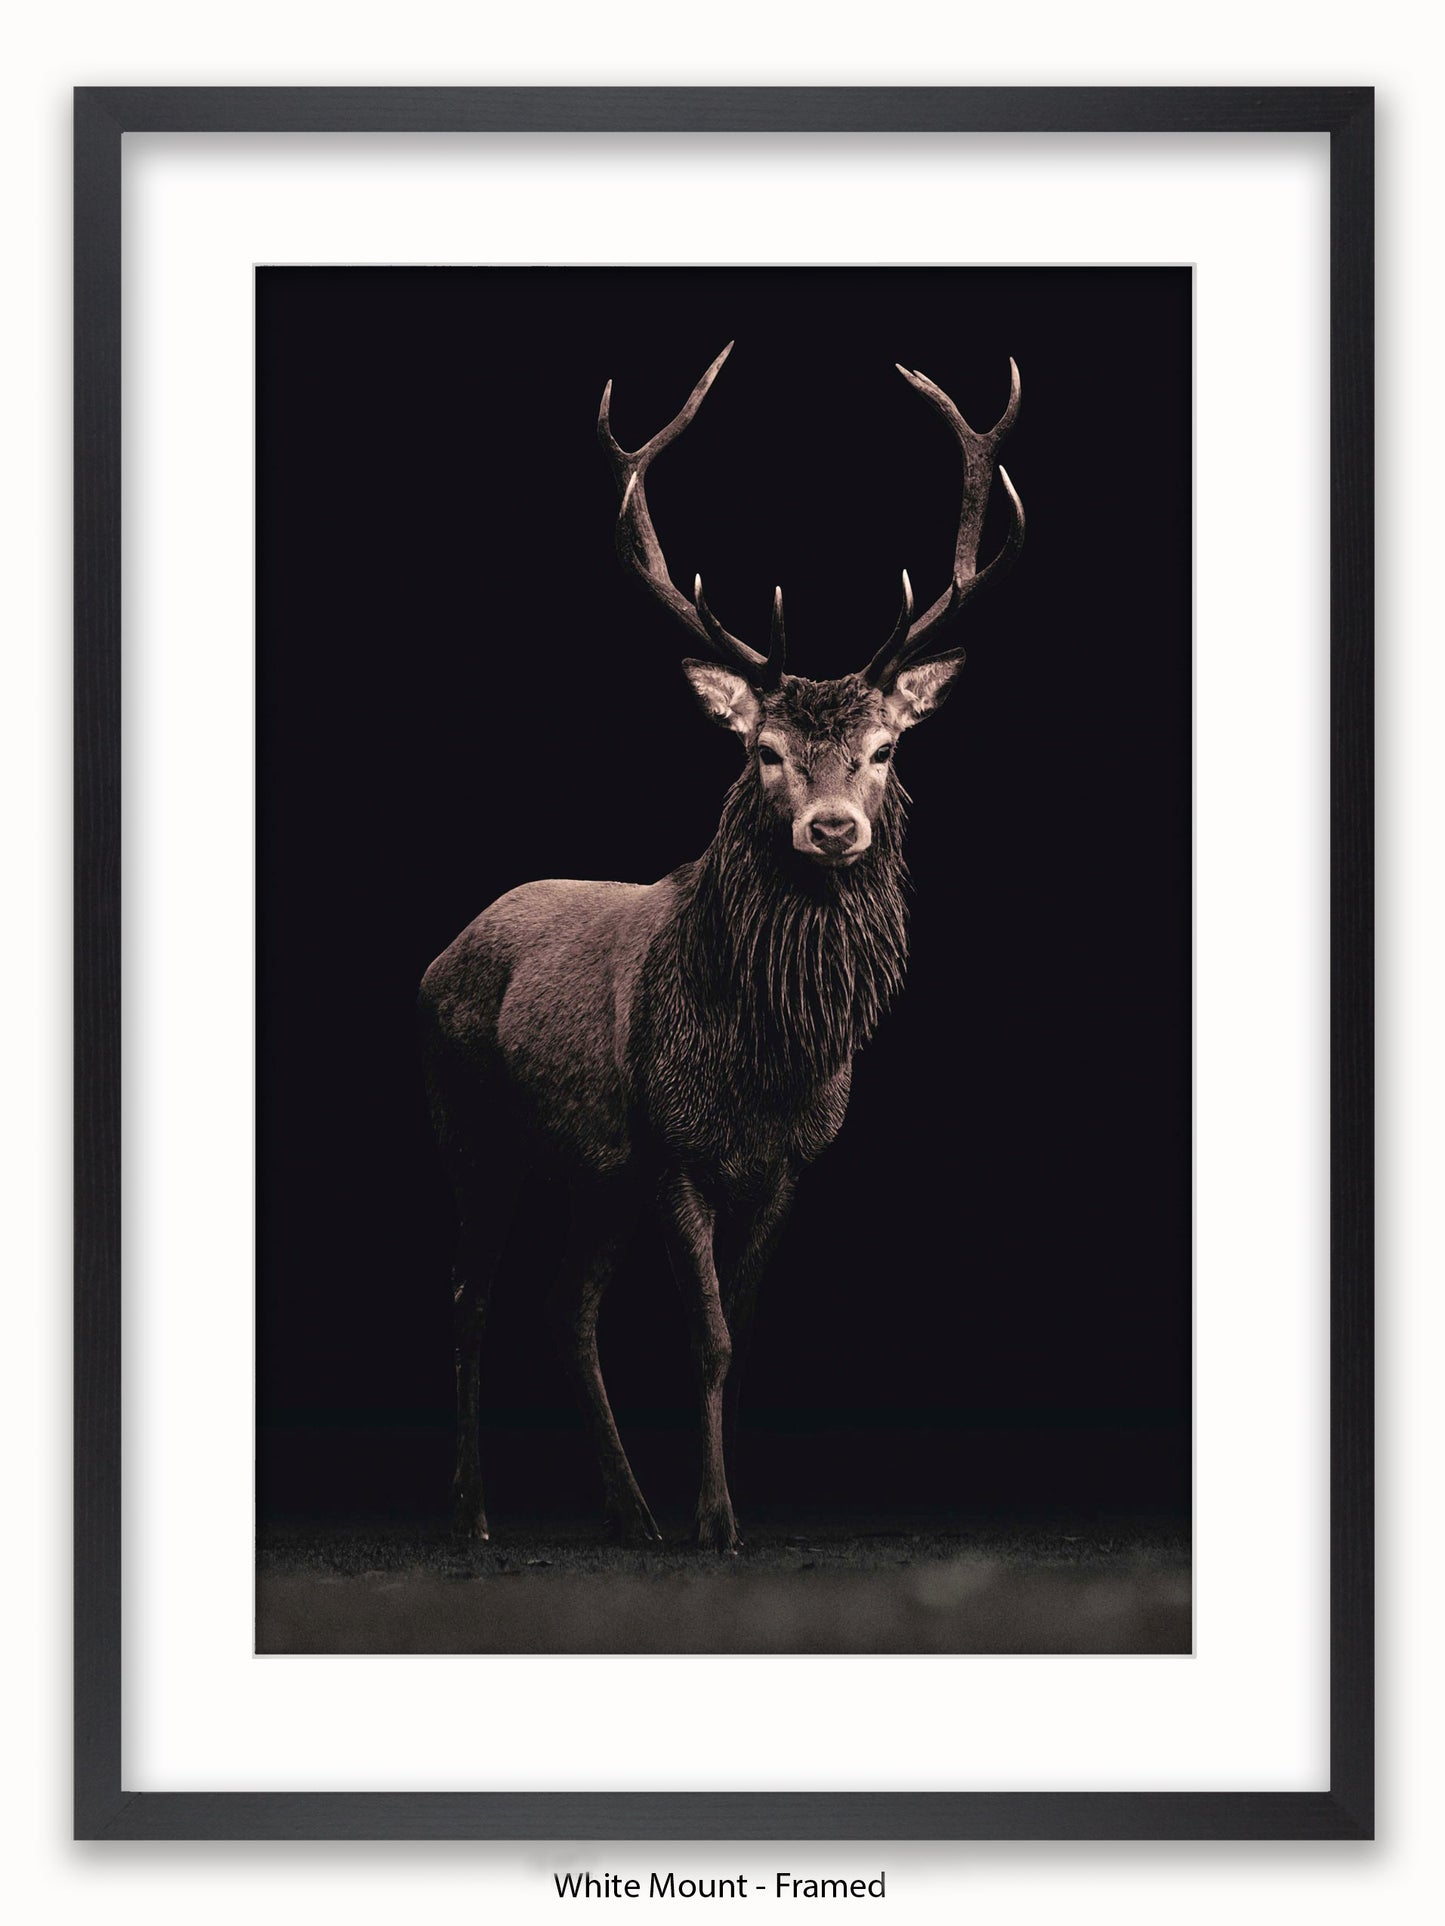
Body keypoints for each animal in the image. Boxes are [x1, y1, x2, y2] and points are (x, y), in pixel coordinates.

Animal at [419, 343, 1024, 1552]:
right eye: (764, 751)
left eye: (884, 749)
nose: (831, 829)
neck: (764, 1064)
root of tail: (438, 957)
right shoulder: (673, 1147)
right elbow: (703, 1334)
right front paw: (715, 1519)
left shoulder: (785, 1163)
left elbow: (739, 1342)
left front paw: (718, 1501)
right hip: (473, 1122)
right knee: (471, 1296)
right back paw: (475, 1512)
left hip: (592, 1166)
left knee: (565, 1305)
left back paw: (627, 1509)